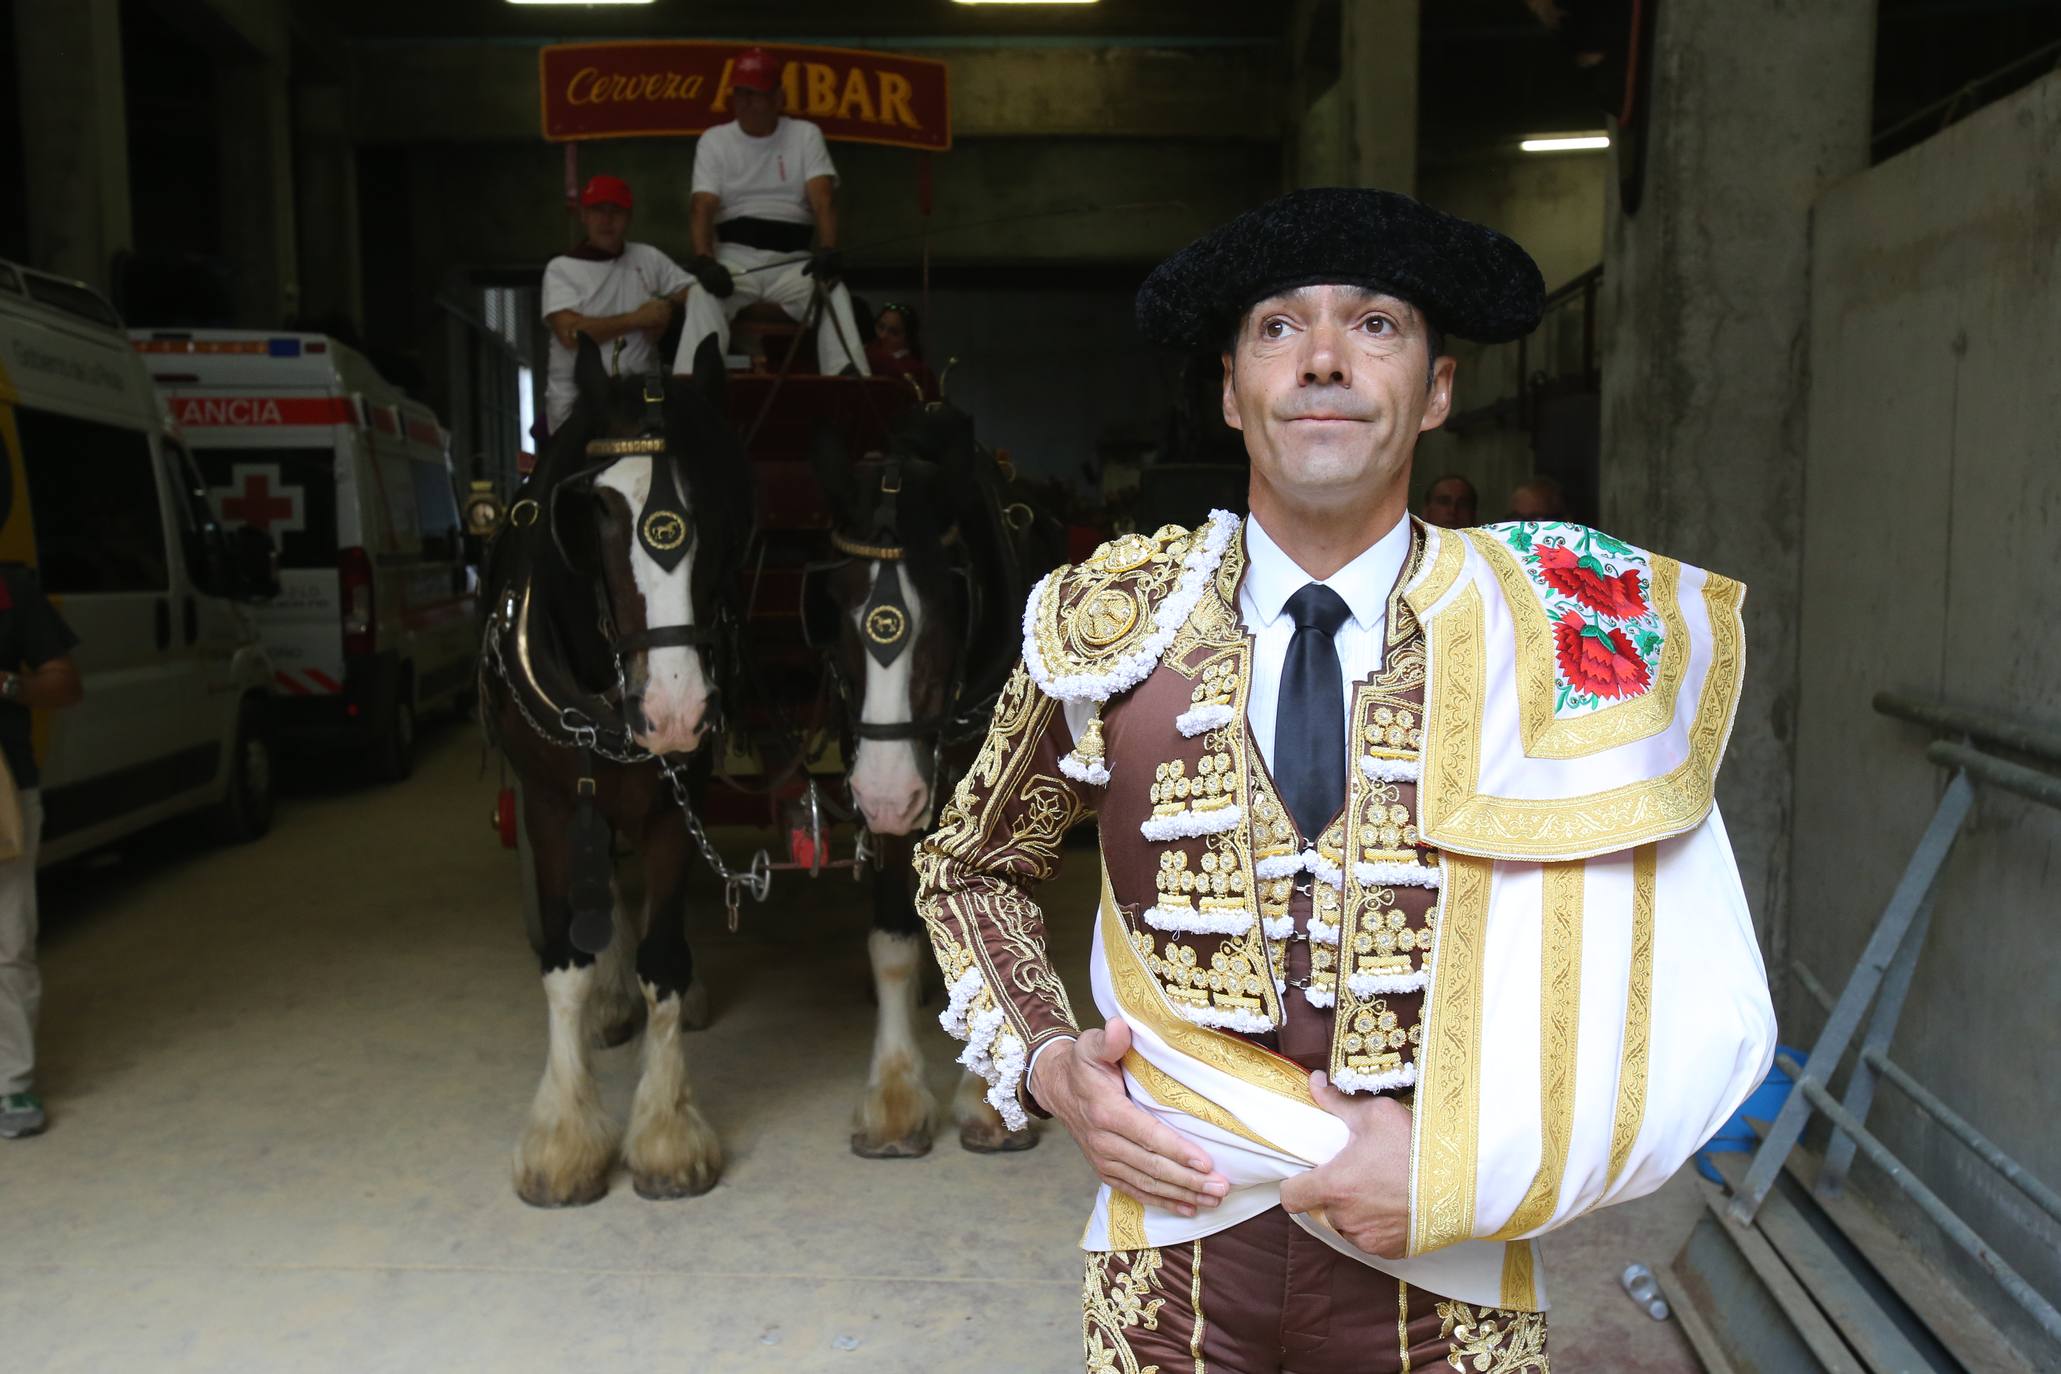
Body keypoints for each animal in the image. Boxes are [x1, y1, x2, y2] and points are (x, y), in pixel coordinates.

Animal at [480, 335, 750, 1203]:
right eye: (597, 511)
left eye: (722, 503)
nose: (674, 710)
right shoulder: (547, 804)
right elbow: (564, 960)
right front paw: (564, 1138)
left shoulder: (674, 803)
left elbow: (664, 959)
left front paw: (665, 1136)